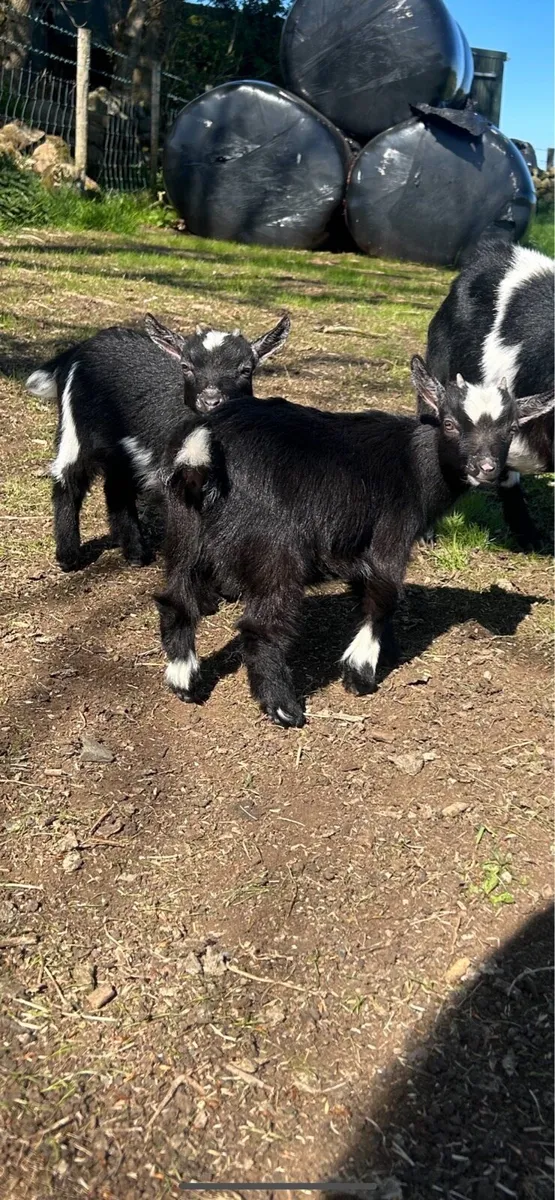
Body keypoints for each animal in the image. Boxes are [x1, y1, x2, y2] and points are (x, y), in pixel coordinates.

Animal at [25, 312, 290, 571]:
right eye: (185, 366)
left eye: (246, 369)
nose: (211, 400)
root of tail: (82, 347)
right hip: (76, 426)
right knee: (69, 479)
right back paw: (68, 557)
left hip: (123, 450)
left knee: (117, 487)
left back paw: (136, 554)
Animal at [155, 357, 544, 728]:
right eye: (450, 423)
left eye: (511, 429)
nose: (486, 468)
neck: (416, 465)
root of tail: (204, 451)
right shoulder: (390, 535)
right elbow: (384, 595)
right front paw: (360, 674)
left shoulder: (356, 546)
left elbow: (365, 590)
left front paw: (390, 650)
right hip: (275, 549)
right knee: (260, 626)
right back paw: (283, 708)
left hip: (185, 533)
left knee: (175, 600)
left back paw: (184, 682)